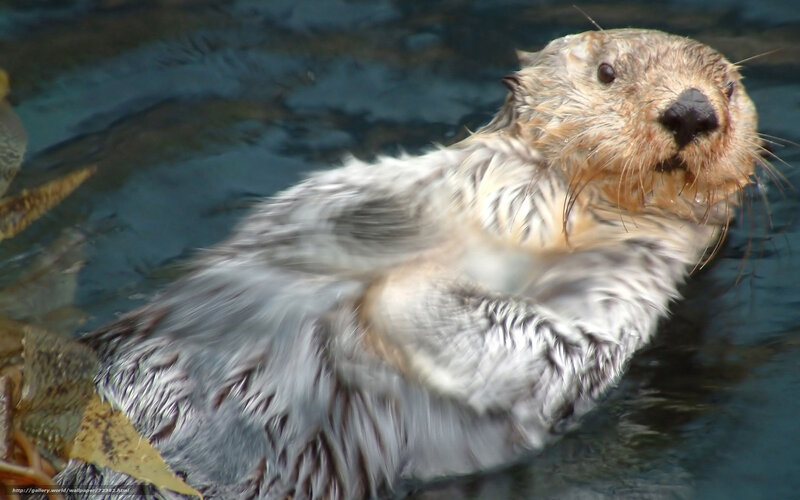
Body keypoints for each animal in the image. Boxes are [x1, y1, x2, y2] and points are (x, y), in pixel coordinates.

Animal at [57, 29, 760, 499]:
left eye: (729, 88)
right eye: (608, 71)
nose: (693, 109)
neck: (552, 224)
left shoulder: (622, 291)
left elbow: (541, 349)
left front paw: (395, 288)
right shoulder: (442, 177)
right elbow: (323, 206)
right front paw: (381, 232)